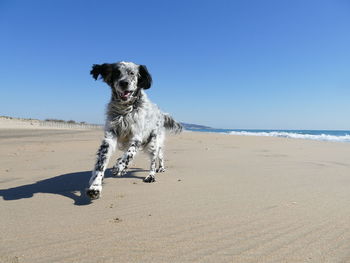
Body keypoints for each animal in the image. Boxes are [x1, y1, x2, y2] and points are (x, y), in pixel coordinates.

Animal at [86, 61, 182, 200]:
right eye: (117, 73)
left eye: (132, 73)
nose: (124, 83)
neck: (124, 110)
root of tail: (161, 112)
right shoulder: (110, 137)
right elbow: (101, 163)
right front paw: (95, 187)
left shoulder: (136, 137)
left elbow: (129, 154)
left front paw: (119, 166)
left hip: (153, 142)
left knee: (156, 159)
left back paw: (153, 174)